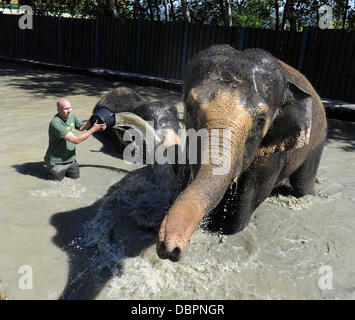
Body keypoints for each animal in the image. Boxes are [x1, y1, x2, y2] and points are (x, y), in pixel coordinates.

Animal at [156, 43, 328, 262]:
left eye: (261, 121)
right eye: (189, 108)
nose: (170, 249)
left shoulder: (270, 154)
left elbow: (236, 218)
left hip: (317, 142)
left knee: (302, 187)